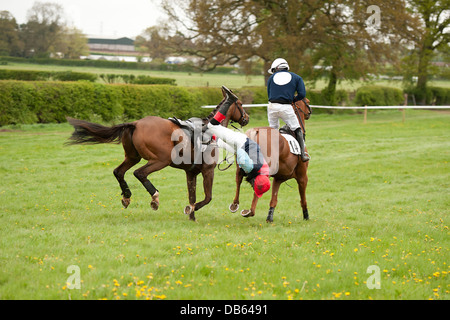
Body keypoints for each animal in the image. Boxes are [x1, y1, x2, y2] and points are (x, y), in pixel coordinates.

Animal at [67, 86, 250, 221]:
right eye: (241, 104)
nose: (246, 118)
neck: (211, 129)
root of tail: (135, 123)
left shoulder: (191, 173)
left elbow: (192, 195)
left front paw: (192, 217)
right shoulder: (208, 171)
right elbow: (206, 198)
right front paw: (191, 209)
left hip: (132, 157)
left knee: (118, 172)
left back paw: (127, 196)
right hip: (161, 160)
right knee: (139, 173)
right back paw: (154, 197)